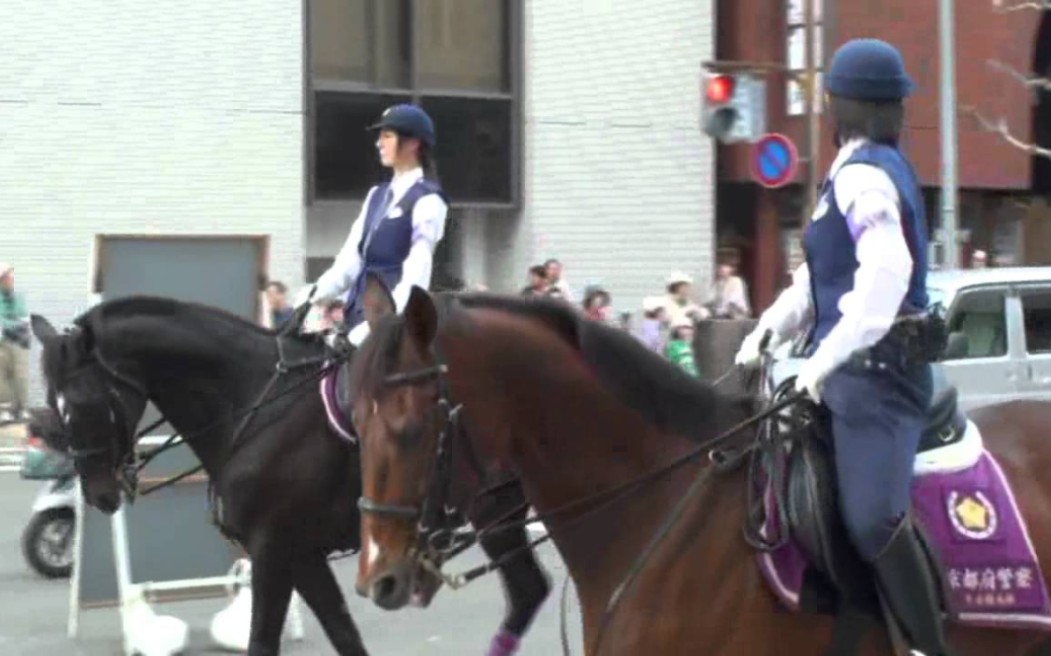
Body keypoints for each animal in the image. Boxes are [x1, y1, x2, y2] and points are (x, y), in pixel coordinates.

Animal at [27, 298, 550, 656]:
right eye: (54, 404)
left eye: (83, 405)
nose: (99, 493)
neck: (251, 404)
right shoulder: (301, 555)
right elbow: (344, 634)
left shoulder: (273, 549)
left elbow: (264, 641)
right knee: (531, 591)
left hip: (496, 512)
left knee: (531, 590)